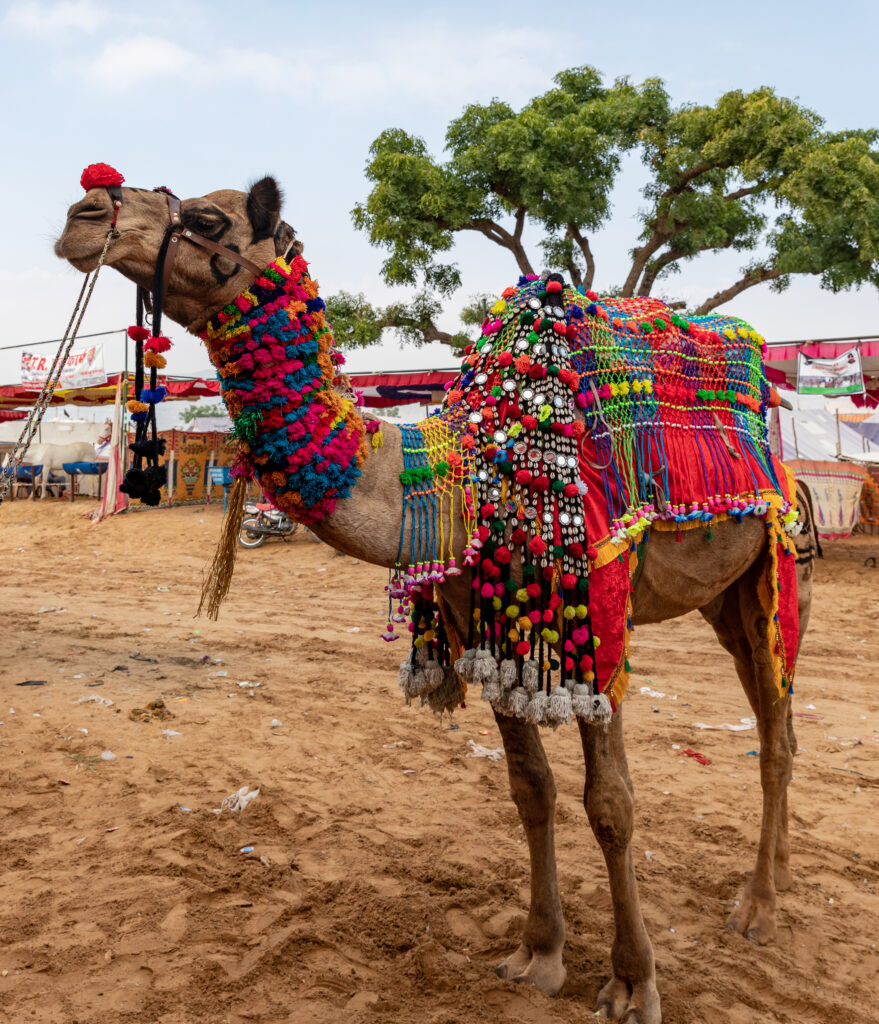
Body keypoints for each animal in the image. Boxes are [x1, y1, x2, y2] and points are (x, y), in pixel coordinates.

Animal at [56, 176, 816, 1024]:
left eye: (210, 218)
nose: (87, 209)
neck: (473, 473)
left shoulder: (597, 616)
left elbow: (611, 805)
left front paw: (631, 984)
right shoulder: (477, 621)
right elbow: (531, 791)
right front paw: (537, 956)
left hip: (776, 571)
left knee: (775, 730)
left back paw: (757, 907)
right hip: (723, 599)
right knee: (776, 724)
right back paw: (780, 875)